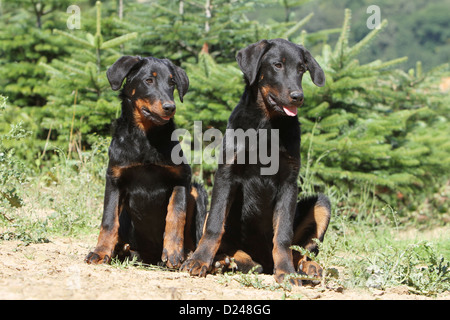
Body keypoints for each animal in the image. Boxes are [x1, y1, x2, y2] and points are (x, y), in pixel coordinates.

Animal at [84, 56, 207, 268]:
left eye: (172, 83)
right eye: (149, 80)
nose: (170, 107)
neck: (146, 140)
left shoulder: (182, 178)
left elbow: (176, 215)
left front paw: (173, 253)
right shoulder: (114, 179)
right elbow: (108, 219)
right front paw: (100, 252)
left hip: (197, 191)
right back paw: (122, 249)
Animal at [181, 38, 332, 284]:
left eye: (302, 69)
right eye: (277, 65)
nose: (298, 96)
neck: (267, 125)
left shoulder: (289, 182)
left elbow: (283, 236)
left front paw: (286, 272)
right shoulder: (226, 174)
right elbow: (214, 226)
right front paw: (199, 260)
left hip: (322, 205)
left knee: (300, 250)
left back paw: (307, 267)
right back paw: (224, 261)